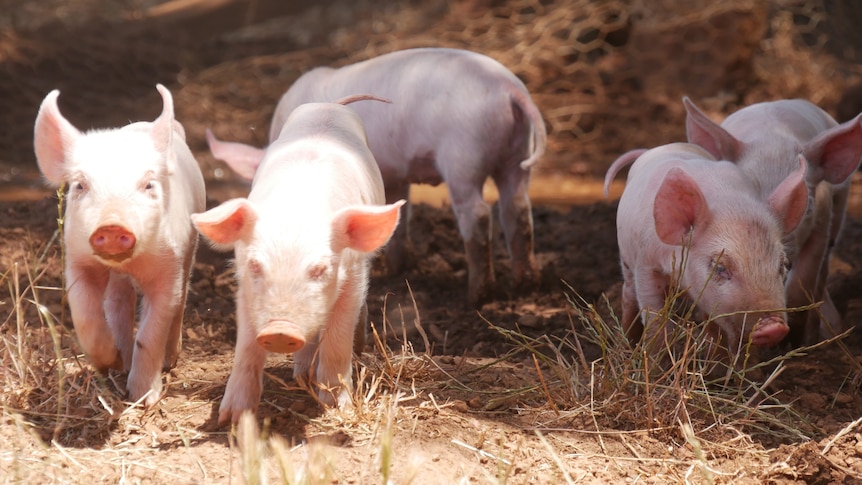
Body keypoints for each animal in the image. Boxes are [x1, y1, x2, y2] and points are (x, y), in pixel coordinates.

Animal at [33, 85, 206, 406]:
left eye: (148, 184)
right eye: (80, 185)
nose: (112, 225)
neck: (129, 263)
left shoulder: (168, 266)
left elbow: (151, 331)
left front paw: (142, 398)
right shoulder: (77, 260)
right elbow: (86, 318)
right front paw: (110, 363)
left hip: (191, 246)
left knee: (181, 299)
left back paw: (169, 361)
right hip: (118, 282)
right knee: (118, 302)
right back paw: (120, 363)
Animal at [192, 95, 404, 424]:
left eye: (320, 269)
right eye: (256, 265)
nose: (280, 330)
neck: (297, 208)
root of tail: (330, 105)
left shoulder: (353, 275)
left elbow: (337, 338)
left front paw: (337, 408)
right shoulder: (245, 286)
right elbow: (246, 346)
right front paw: (233, 418)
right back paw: (302, 375)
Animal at [216, 49, 552, 306]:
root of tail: (508, 87)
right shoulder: (394, 175)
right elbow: (398, 215)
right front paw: (398, 269)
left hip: (464, 155)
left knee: (478, 214)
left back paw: (474, 297)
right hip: (517, 154)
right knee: (518, 208)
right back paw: (526, 286)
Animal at [608, 144, 808, 356]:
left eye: (784, 264)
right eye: (720, 267)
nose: (773, 327)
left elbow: (719, 333)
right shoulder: (646, 264)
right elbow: (656, 321)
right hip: (626, 260)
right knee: (628, 296)